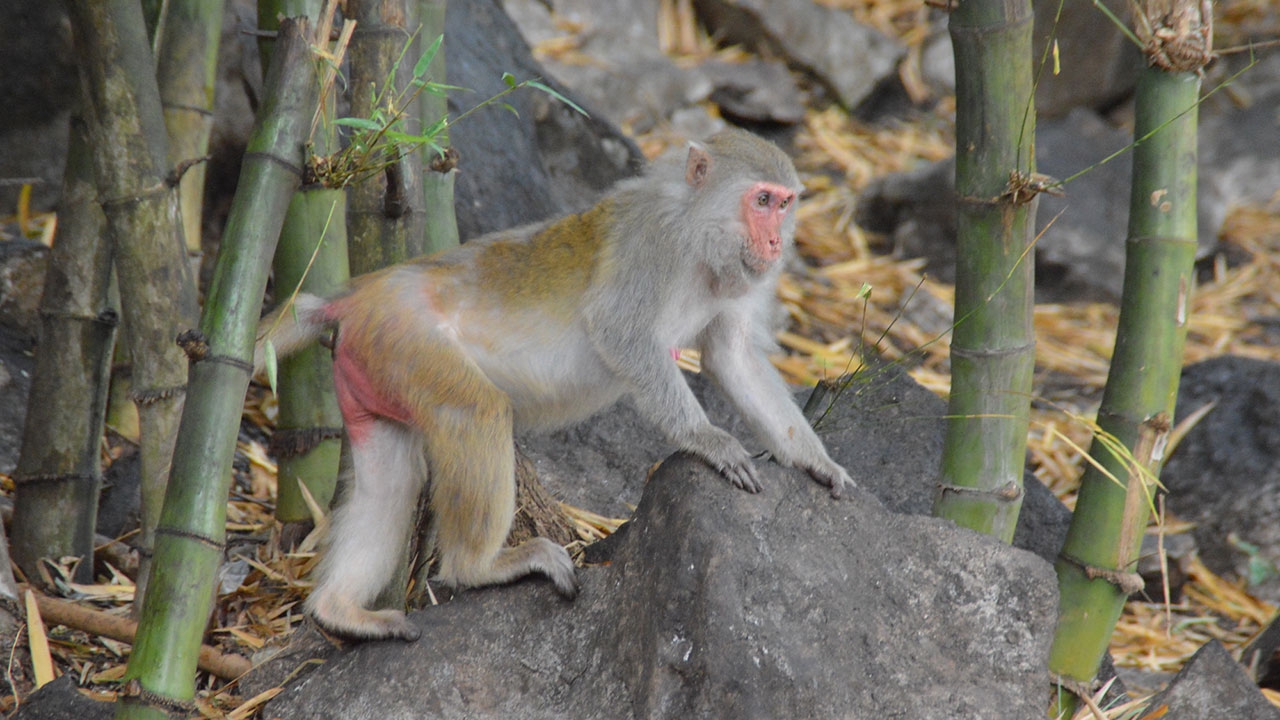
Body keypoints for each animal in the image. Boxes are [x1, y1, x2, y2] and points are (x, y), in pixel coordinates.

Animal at [259, 128, 855, 638]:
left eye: (785, 203)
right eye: (761, 200)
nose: (776, 243)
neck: (698, 231)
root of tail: (356, 295)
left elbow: (734, 359)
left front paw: (814, 459)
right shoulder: (653, 245)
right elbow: (621, 333)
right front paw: (708, 440)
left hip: (375, 365)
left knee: (389, 480)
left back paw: (339, 609)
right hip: (409, 339)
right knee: (476, 412)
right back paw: (478, 567)